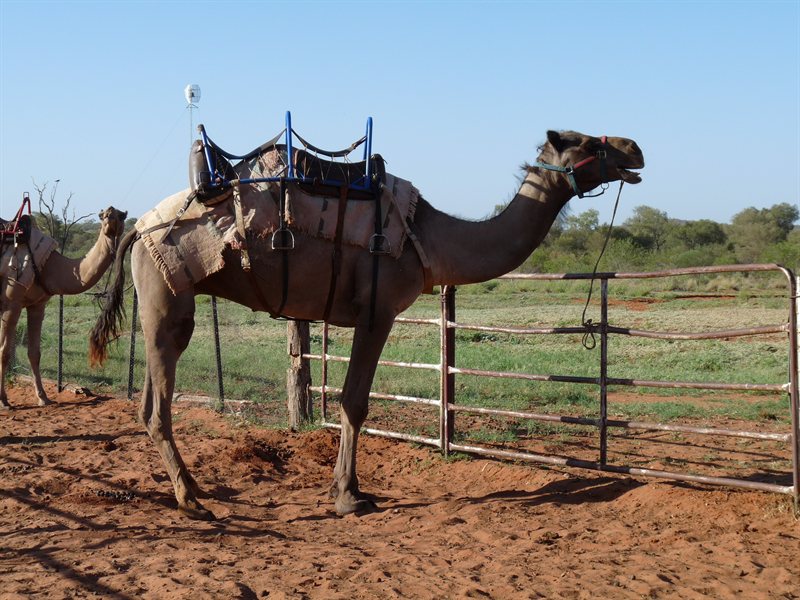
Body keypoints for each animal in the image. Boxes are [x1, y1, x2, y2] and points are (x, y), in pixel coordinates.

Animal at [0, 207, 127, 409]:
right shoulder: (11, 302)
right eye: (104, 215)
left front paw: (43, 398)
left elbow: (34, 352)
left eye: (121, 215)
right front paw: (4, 401)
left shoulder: (37, 305)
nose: (110, 218)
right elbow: (4, 352)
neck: (49, 266)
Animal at [89, 130, 644, 519]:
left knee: (147, 401)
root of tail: (139, 229)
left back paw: (194, 488)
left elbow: (352, 401)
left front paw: (351, 489)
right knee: (158, 405)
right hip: (168, 299)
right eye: (587, 141)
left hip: (159, 306)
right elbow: (354, 402)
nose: (634, 148)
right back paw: (191, 501)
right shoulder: (377, 312)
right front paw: (348, 497)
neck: (428, 236)